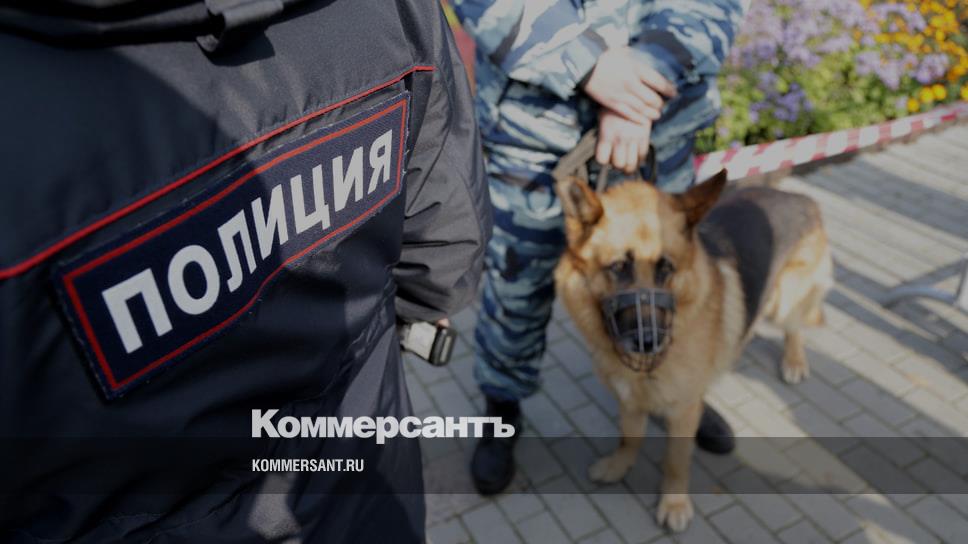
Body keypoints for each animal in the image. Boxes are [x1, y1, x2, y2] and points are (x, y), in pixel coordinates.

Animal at [553, 168, 833, 532]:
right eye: (618, 267)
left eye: (665, 268)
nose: (649, 341)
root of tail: (800, 197)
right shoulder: (629, 399)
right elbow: (630, 437)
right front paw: (619, 466)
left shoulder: (684, 410)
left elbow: (676, 459)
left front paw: (673, 504)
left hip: (782, 303)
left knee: (795, 323)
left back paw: (794, 361)